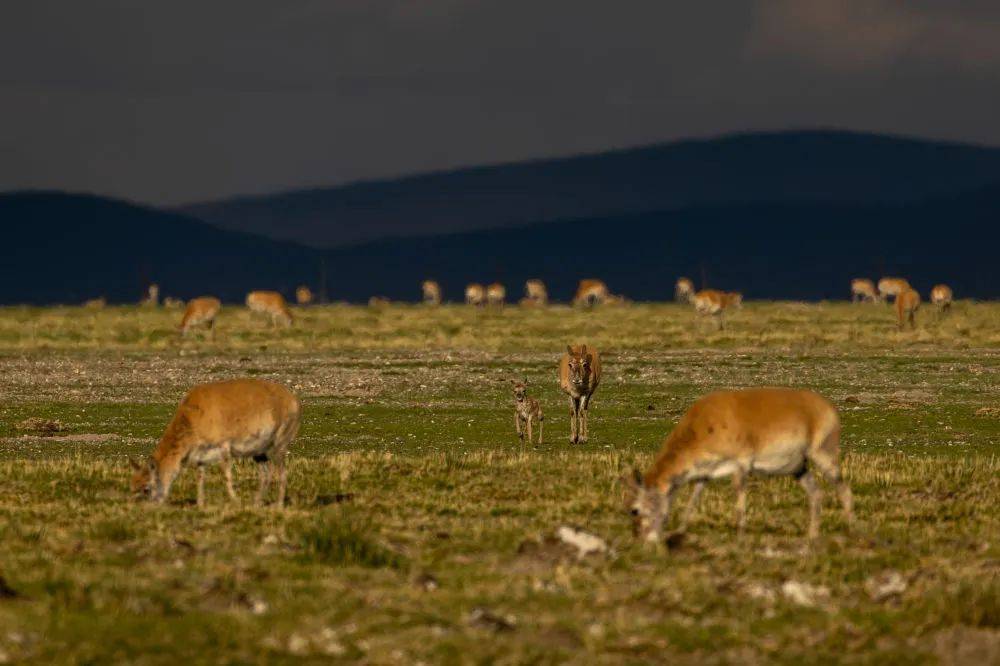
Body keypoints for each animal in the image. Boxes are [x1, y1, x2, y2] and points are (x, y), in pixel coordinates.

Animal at [131, 376, 300, 506]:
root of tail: (293, 400)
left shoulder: (224, 447)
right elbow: (200, 478)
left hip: (278, 447)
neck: (193, 415)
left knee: (282, 473)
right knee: (266, 474)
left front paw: (234, 500)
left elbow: (227, 475)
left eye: (146, 488)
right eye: (133, 487)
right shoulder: (200, 456)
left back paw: (278, 505)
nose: (144, 509)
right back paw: (257, 503)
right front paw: (200, 503)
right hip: (259, 453)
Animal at [624, 386, 852, 544]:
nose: (639, 538)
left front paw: (740, 536)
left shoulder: (741, 465)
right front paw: (680, 530)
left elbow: (740, 501)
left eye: (635, 510)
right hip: (798, 468)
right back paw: (812, 536)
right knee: (816, 493)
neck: (702, 425)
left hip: (823, 455)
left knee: (844, 489)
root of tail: (829, 407)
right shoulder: (704, 474)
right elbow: (693, 499)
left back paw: (853, 531)